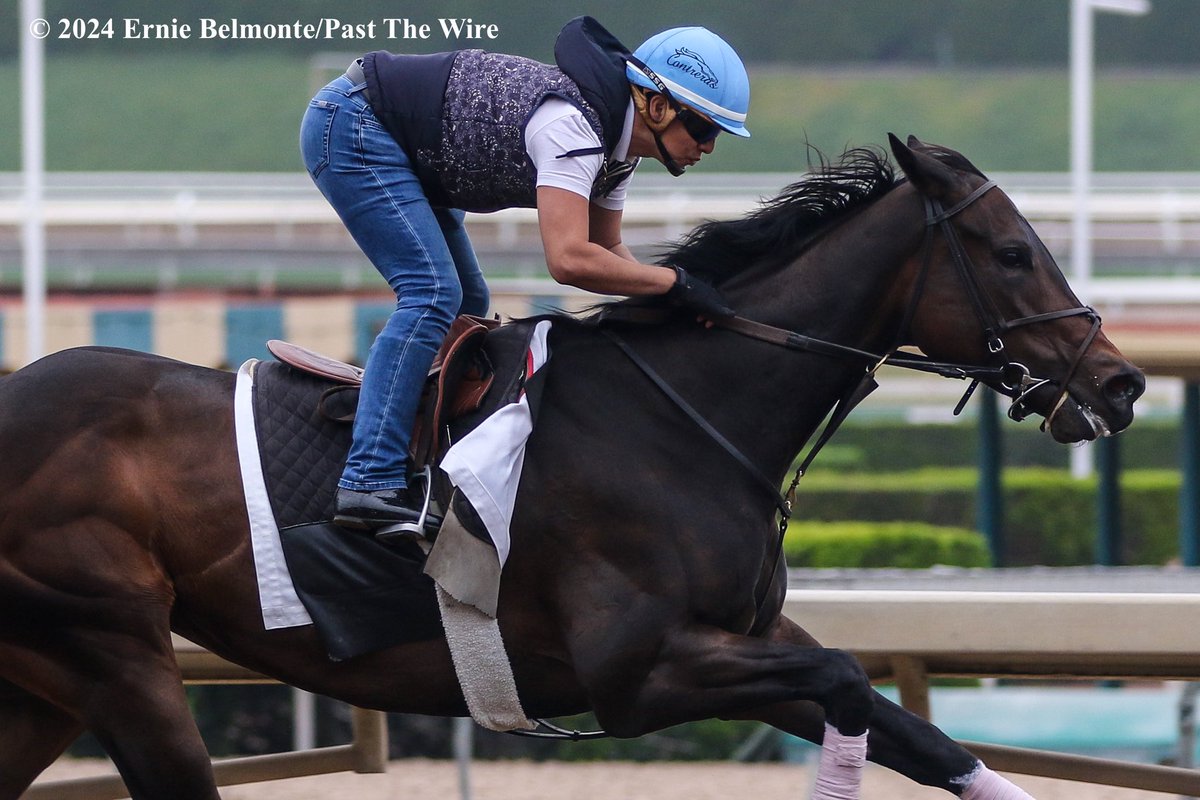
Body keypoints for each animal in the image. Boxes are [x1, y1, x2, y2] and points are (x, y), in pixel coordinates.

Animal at [0, 134, 1142, 796]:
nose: (1122, 381)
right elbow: (850, 683)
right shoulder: (640, 670)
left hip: (49, 685)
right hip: (115, 651)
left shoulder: (746, 641)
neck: (680, 416)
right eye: (1012, 253)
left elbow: (919, 735)